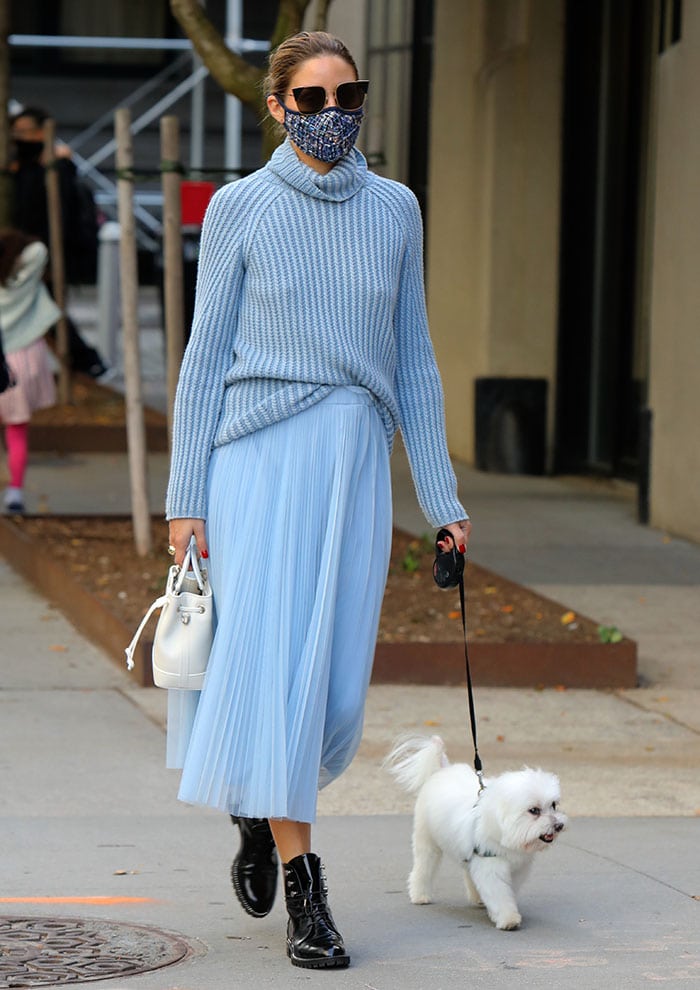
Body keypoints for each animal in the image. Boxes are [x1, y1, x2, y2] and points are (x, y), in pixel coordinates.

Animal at [386, 736, 568, 928]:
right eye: (534, 810)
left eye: (554, 805)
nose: (559, 825)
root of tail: (442, 770)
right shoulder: (491, 867)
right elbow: (500, 895)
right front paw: (508, 918)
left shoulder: (516, 869)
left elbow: (508, 890)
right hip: (427, 842)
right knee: (423, 868)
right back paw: (420, 896)